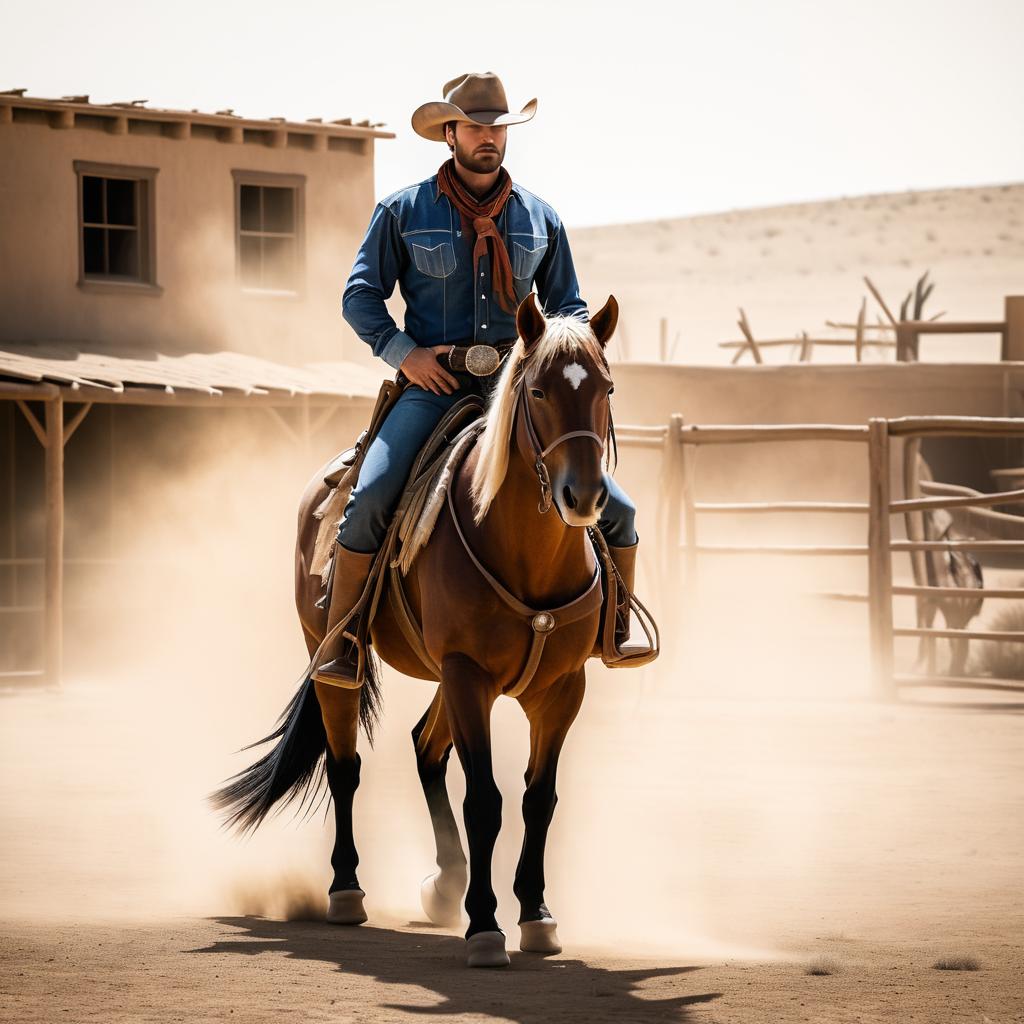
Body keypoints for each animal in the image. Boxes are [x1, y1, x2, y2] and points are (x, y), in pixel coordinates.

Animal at [211, 292, 618, 962]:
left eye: (606, 388)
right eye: (537, 391)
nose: (581, 496)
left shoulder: (562, 688)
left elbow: (538, 799)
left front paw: (535, 913)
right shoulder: (467, 675)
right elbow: (485, 801)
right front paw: (486, 925)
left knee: (425, 747)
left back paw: (446, 883)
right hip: (333, 660)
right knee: (345, 766)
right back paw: (347, 890)